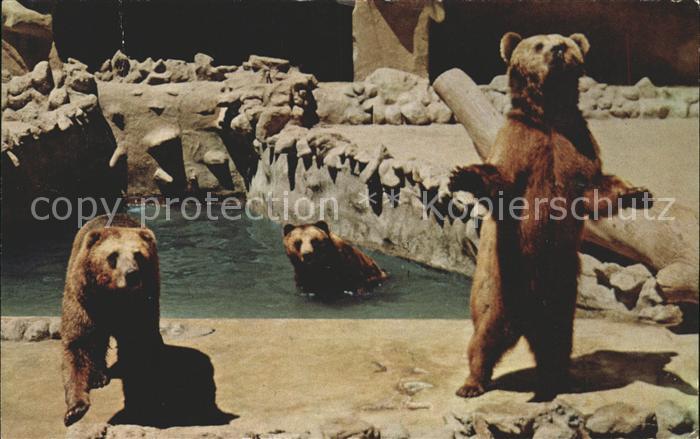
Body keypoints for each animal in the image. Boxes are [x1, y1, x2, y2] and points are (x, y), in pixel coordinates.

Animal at [61, 214, 162, 426]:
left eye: (138, 254)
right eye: (113, 256)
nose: (132, 274)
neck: (113, 298)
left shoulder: (140, 306)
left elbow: (140, 345)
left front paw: (144, 399)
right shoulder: (84, 301)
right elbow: (77, 345)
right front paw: (75, 409)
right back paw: (98, 376)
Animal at [448, 33, 653, 400]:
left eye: (565, 43)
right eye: (539, 45)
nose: (558, 49)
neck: (549, 117)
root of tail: (526, 321)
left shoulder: (577, 145)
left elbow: (595, 188)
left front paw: (638, 192)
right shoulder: (520, 145)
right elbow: (501, 182)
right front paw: (464, 176)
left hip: (561, 294)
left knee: (556, 342)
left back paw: (555, 381)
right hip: (500, 286)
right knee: (485, 336)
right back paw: (472, 383)